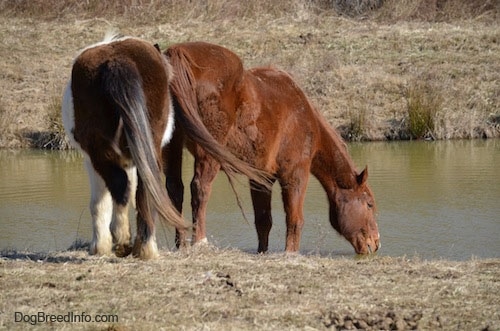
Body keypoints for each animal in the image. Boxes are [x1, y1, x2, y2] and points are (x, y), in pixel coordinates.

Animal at [62, 35, 270, 260]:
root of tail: (118, 61)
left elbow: (102, 201)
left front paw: (101, 246)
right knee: (167, 189)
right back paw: (154, 246)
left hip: (115, 150)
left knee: (137, 188)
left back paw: (136, 244)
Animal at [166, 41, 380, 254]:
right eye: (369, 204)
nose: (376, 243)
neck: (306, 118)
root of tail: (179, 53)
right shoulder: (295, 175)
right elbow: (295, 220)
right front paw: (291, 253)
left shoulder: (261, 178)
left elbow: (263, 220)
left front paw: (263, 251)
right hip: (208, 154)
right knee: (200, 188)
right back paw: (199, 241)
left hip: (171, 146)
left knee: (175, 188)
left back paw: (180, 243)